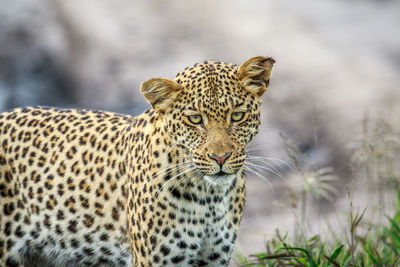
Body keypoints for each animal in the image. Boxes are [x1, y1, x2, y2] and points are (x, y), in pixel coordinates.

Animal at [0, 55, 276, 266]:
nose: (220, 157)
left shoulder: (214, 257)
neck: (208, 197)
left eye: (237, 116)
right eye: (195, 119)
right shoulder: (156, 260)